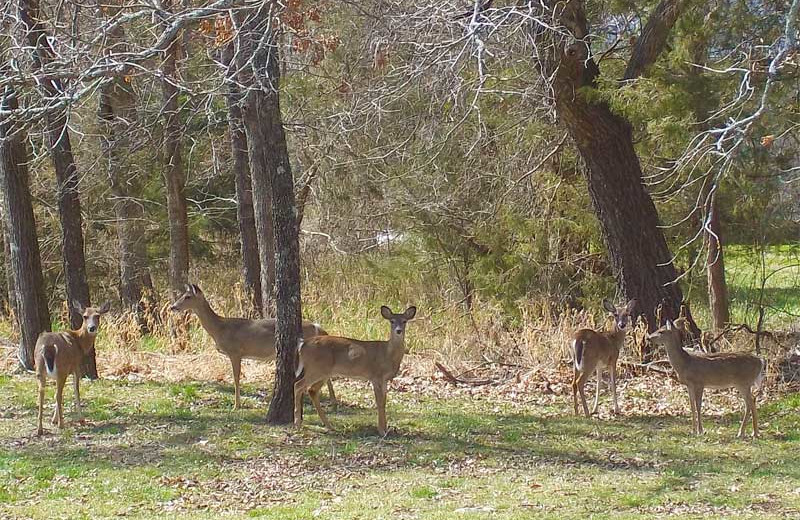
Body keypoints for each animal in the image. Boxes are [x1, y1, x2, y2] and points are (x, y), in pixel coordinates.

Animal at [35, 298, 111, 436]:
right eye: (85, 316)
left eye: (97, 316)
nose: (92, 328)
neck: (79, 341)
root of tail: (48, 347)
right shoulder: (76, 366)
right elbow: (76, 391)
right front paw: (81, 420)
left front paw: (53, 420)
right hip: (61, 368)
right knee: (57, 394)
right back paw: (61, 424)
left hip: (40, 369)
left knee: (41, 394)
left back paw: (40, 429)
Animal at [170, 284, 336, 410]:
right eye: (183, 295)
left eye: (188, 297)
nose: (173, 307)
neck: (220, 328)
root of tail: (317, 326)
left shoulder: (235, 352)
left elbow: (236, 378)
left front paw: (236, 405)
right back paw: (331, 400)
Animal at [296, 304, 418, 434]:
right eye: (392, 321)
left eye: (404, 321)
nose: (398, 330)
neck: (387, 354)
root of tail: (303, 344)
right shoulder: (376, 376)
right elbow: (379, 402)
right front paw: (381, 430)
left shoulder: (384, 379)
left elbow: (384, 401)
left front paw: (386, 428)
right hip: (315, 369)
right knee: (299, 385)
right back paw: (298, 424)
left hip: (323, 372)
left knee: (312, 390)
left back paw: (329, 426)